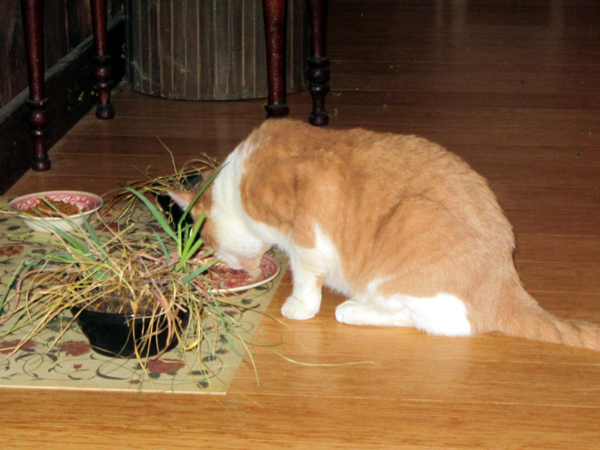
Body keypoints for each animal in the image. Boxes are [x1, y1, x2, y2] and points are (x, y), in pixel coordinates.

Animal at [169, 118, 600, 352]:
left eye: (205, 243)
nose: (208, 260)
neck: (238, 182)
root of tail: (506, 282)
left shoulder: (307, 235)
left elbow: (305, 277)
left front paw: (299, 306)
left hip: (411, 231)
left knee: (431, 322)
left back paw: (352, 309)